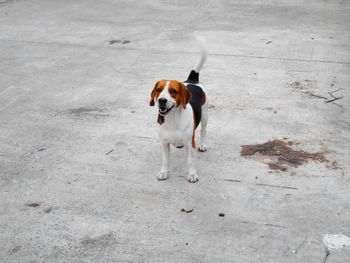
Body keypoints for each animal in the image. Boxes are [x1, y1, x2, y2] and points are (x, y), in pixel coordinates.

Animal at [148, 39, 208, 184]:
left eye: (173, 91)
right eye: (158, 90)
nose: (162, 100)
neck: (172, 119)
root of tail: (192, 80)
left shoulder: (190, 144)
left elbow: (190, 161)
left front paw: (192, 174)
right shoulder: (164, 143)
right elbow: (165, 160)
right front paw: (164, 172)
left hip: (205, 115)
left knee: (203, 131)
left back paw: (203, 144)